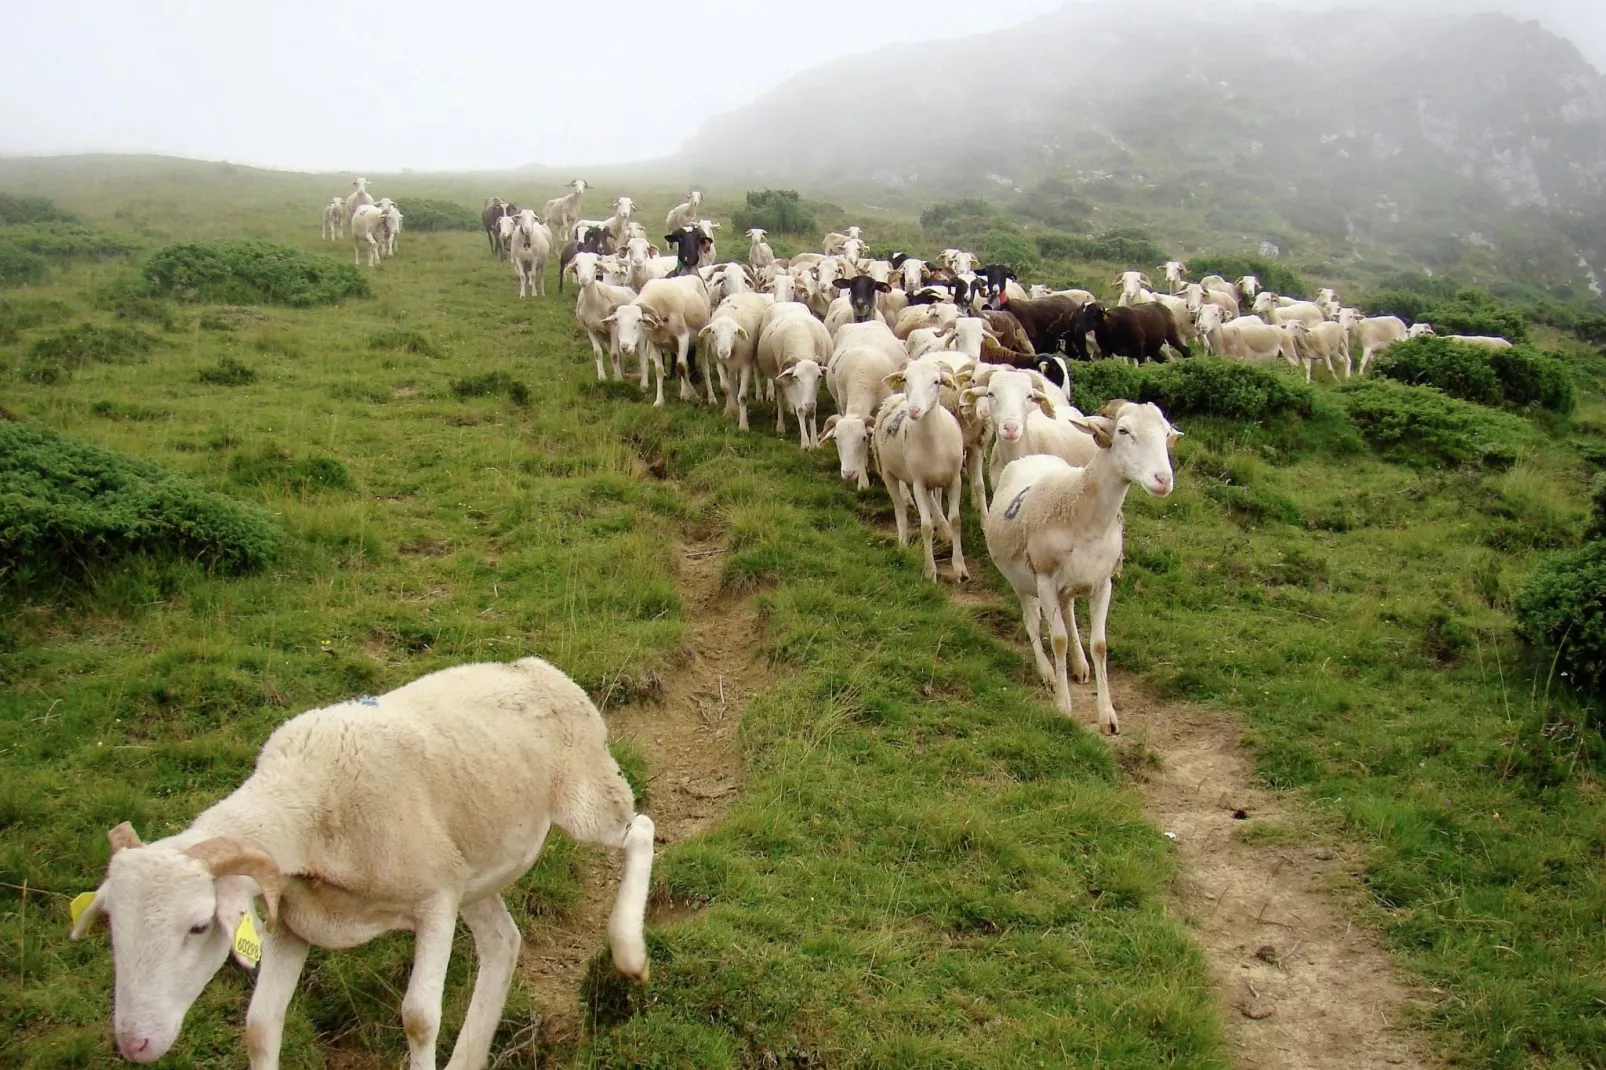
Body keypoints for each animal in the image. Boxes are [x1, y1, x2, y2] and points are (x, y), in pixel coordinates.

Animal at [70, 658, 652, 1066]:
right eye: (111, 926)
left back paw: (629, 950)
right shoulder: (291, 924)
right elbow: (260, 1027)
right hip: (474, 872)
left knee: (640, 831)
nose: (134, 1044)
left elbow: (418, 1018)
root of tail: (535, 667)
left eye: (197, 926)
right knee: (502, 943)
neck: (308, 800)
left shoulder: (433, 902)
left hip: (584, 797)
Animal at [873, 353, 970, 578]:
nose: (915, 410)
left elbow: (956, 520)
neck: (934, 442)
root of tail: (895, 398)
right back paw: (903, 546)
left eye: (936, 382)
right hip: (888, 472)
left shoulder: (955, 479)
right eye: (906, 380)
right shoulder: (918, 483)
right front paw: (929, 570)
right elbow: (925, 526)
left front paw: (960, 567)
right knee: (900, 510)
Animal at [976, 400, 1182, 732]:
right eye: (1123, 431)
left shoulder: (1103, 583)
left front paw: (1108, 715)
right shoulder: (1045, 580)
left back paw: (1079, 664)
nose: (1163, 480)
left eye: (1165, 434)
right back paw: (1047, 672)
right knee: (1032, 621)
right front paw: (1063, 705)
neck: (1084, 513)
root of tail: (1030, 457)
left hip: (1068, 584)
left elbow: (1099, 645)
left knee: (1068, 613)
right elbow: (1057, 639)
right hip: (1020, 581)